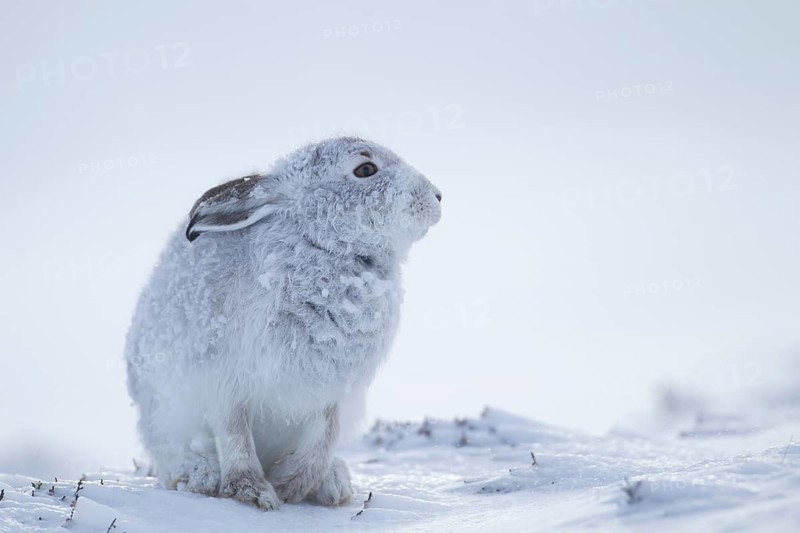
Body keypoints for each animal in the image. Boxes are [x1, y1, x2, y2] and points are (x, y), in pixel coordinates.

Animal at [125, 136, 442, 510]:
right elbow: (235, 434)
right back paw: (198, 475)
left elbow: (323, 439)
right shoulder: (224, 381)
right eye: (366, 169)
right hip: (163, 413)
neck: (324, 247)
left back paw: (334, 482)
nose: (437, 196)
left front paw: (291, 484)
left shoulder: (332, 392)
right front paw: (253, 492)